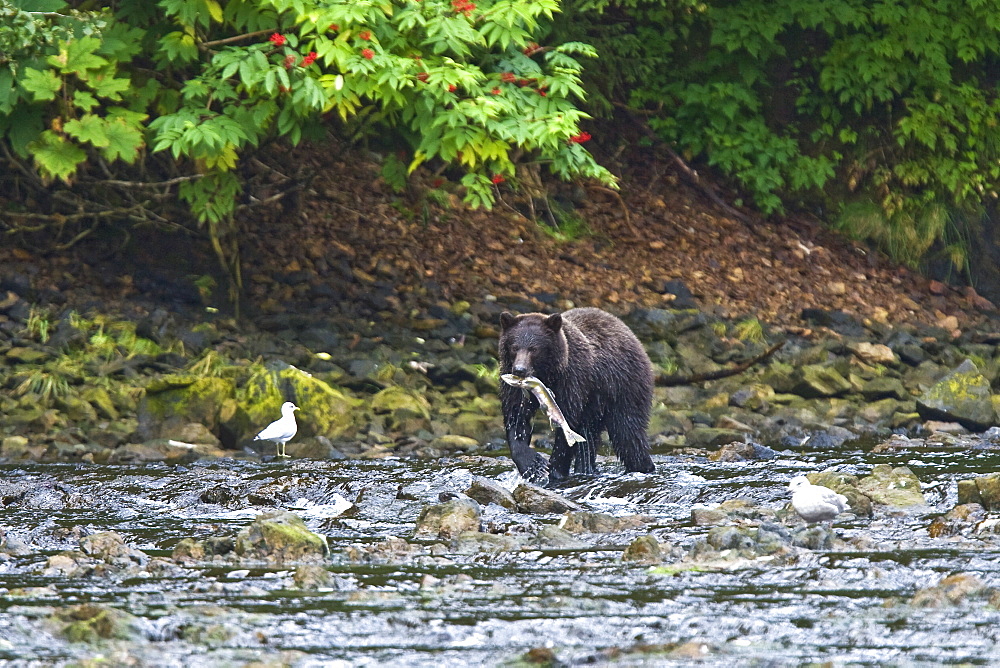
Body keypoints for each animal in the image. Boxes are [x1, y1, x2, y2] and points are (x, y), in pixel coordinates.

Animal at [498, 308, 656, 480]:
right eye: (514, 347)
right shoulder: (513, 386)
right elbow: (516, 418)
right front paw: (533, 466)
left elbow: (567, 420)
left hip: (624, 387)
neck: (547, 375)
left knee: (627, 433)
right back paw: (587, 468)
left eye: (534, 348)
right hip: (596, 404)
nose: (519, 370)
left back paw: (642, 467)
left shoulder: (572, 380)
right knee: (589, 439)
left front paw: (554, 470)